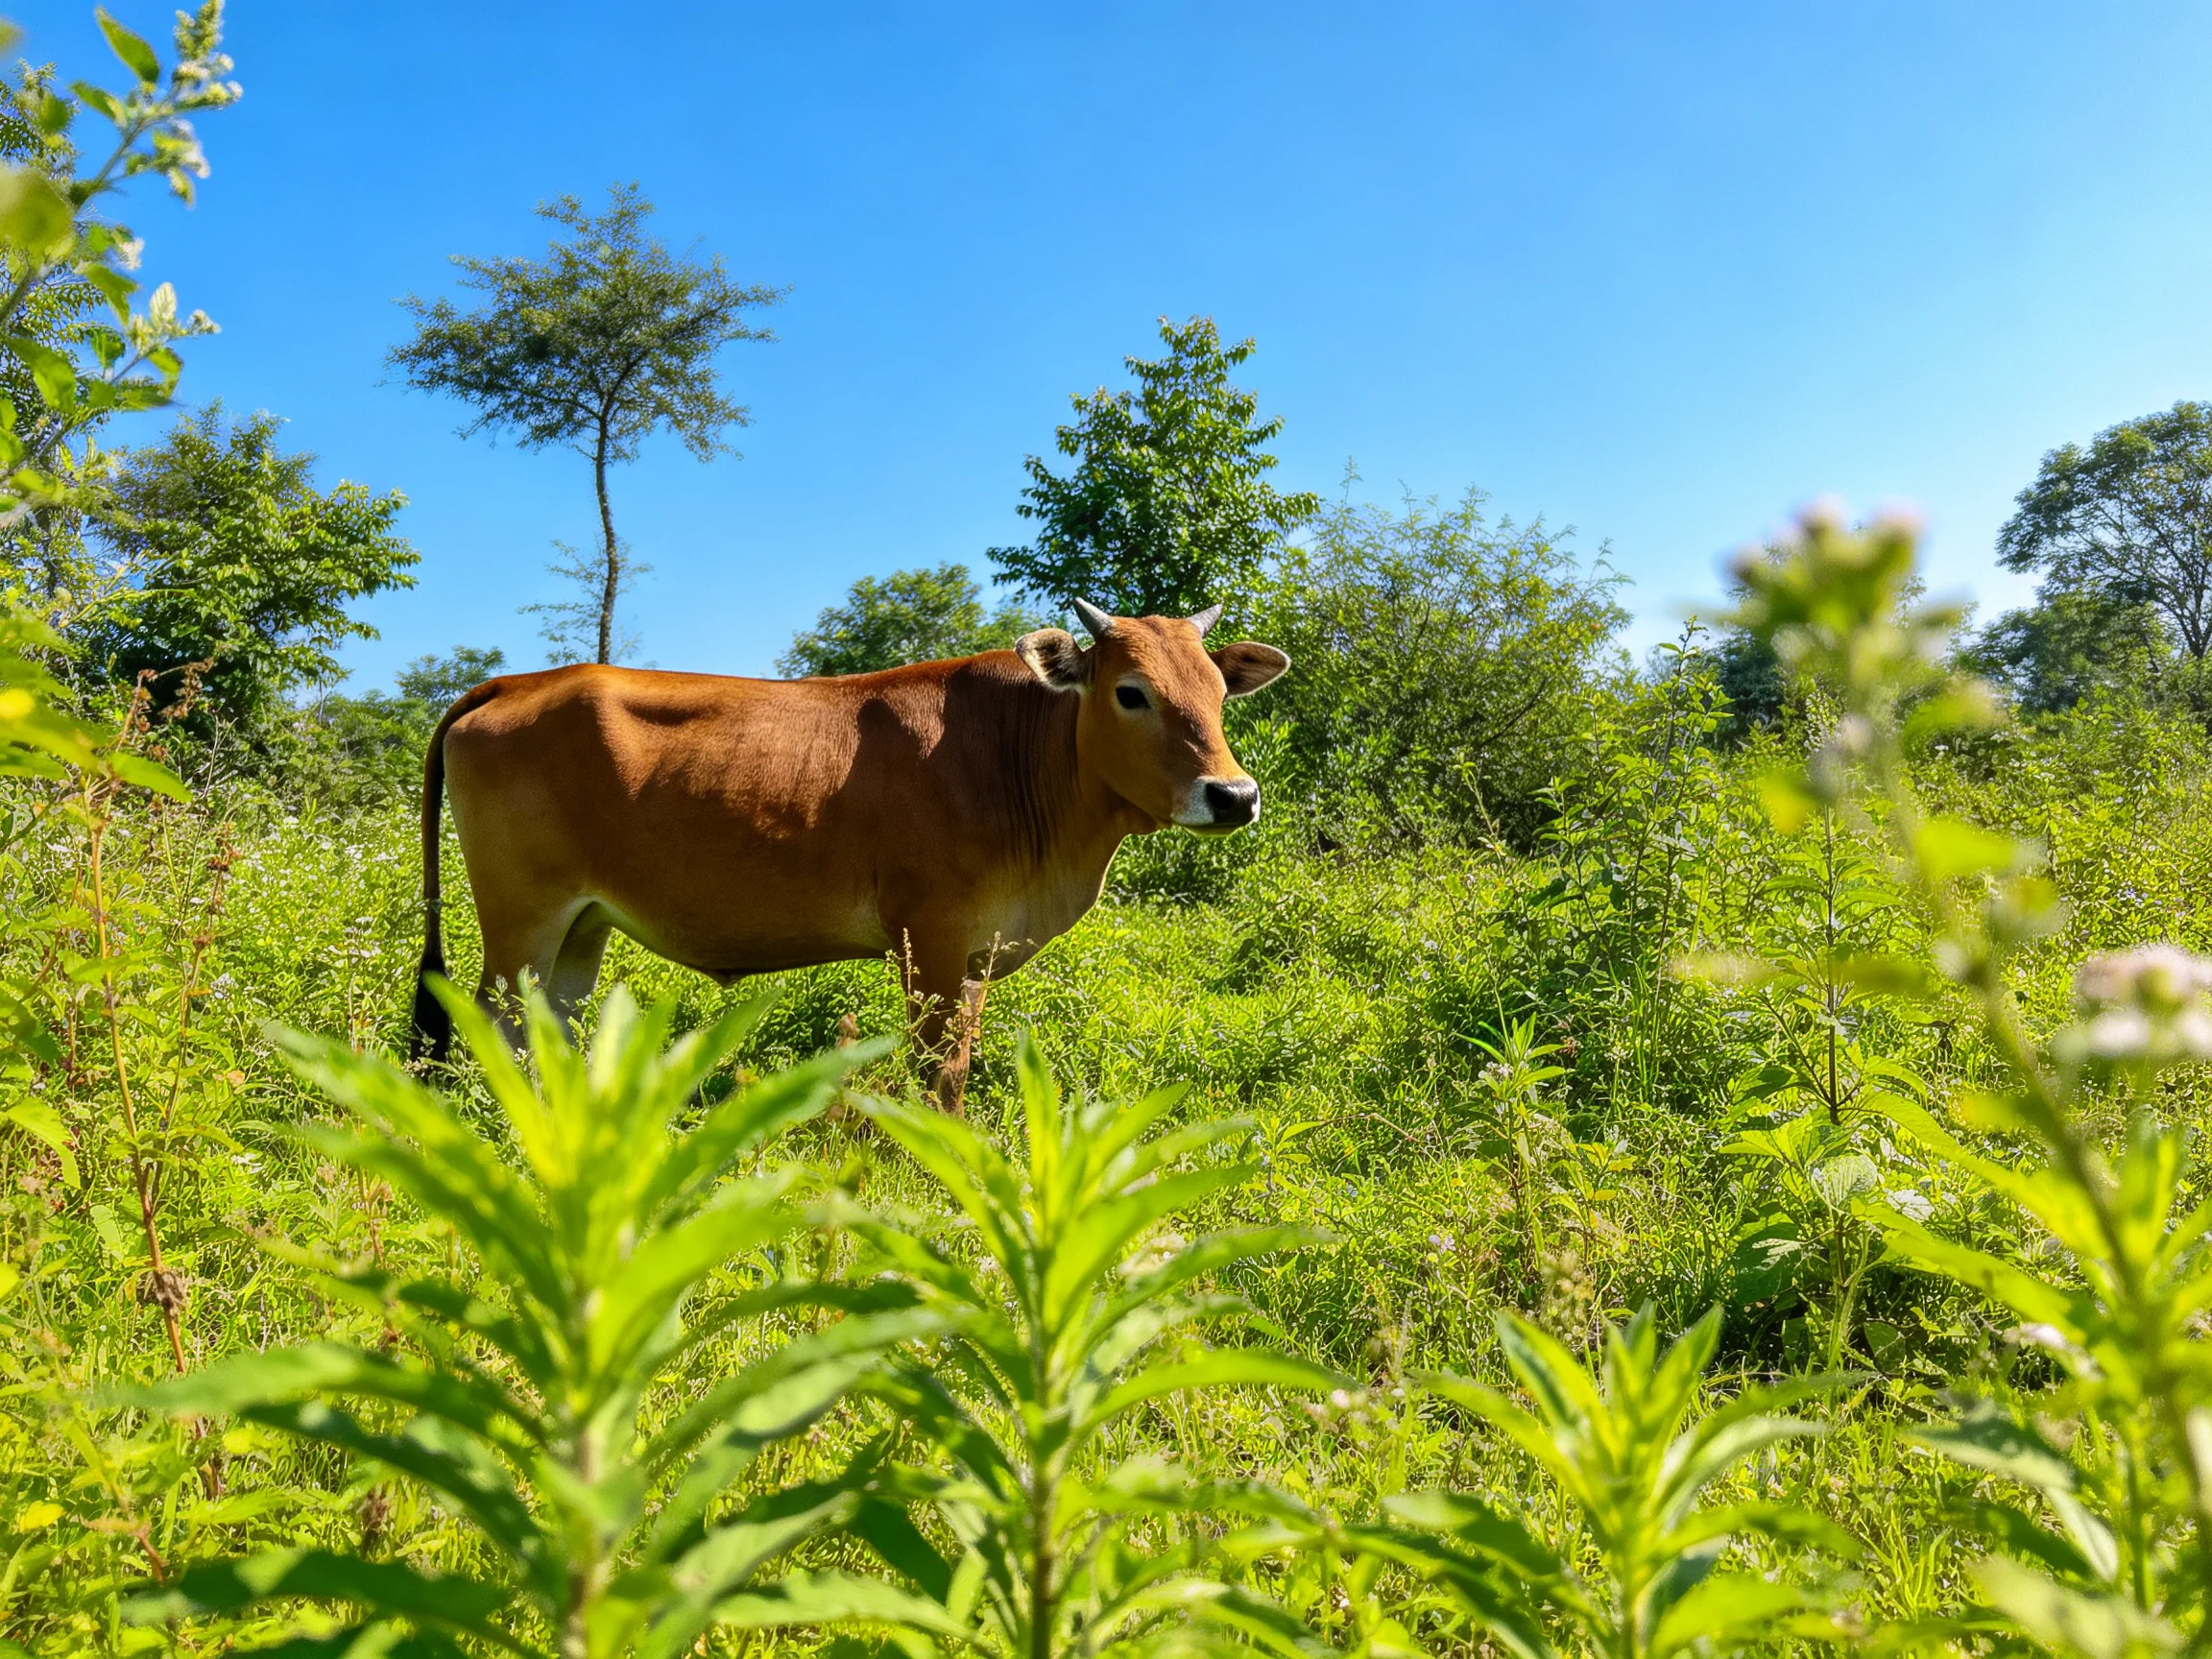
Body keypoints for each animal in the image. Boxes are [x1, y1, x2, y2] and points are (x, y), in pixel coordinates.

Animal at [409, 598, 1289, 1111]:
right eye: (1130, 691)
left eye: (1218, 691)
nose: (1234, 795)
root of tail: (516, 682)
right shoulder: (931, 940)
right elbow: (938, 1072)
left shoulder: (976, 952)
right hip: (520, 919)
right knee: (494, 1023)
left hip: (580, 926)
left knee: (548, 1026)